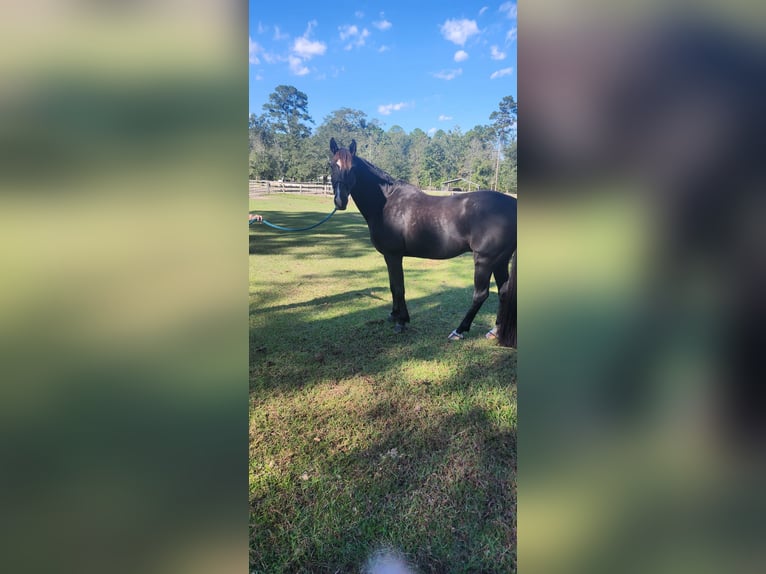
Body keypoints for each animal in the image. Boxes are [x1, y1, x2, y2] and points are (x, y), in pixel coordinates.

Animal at [329, 137, 517, 344]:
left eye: (353, 168)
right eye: (331, 165)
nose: (340, 201)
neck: (386, 202)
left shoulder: (393, 255)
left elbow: (398, 287)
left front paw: (401, 322)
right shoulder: (389, 256)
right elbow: (392, 286)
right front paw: (394, 315)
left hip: (485, 260)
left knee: (480, 294)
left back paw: (459, 331)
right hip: (500, 260)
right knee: (504, 292)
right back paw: (495, 331)